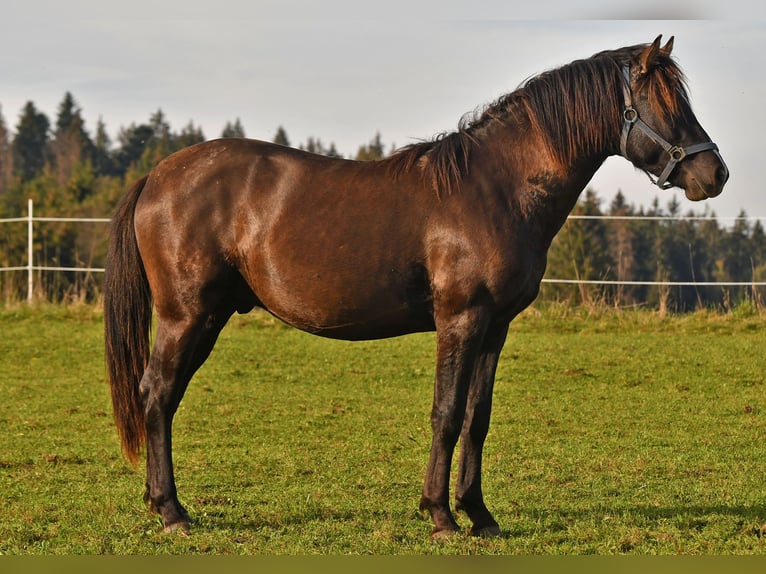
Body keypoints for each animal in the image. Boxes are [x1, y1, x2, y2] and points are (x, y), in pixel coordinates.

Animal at [105, 37, 728, 540]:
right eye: (666, 104)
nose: (715, 175)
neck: (495, 188)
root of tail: (157, 176)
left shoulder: (495, 328)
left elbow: (478, 416)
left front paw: (480, 515)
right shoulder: (460, 319)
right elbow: (446, 413)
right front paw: (440, 515)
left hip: (206, 316)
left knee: (164, 398)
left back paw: (161, 504)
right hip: (187, 316)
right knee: (156, 394)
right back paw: (172, 512)